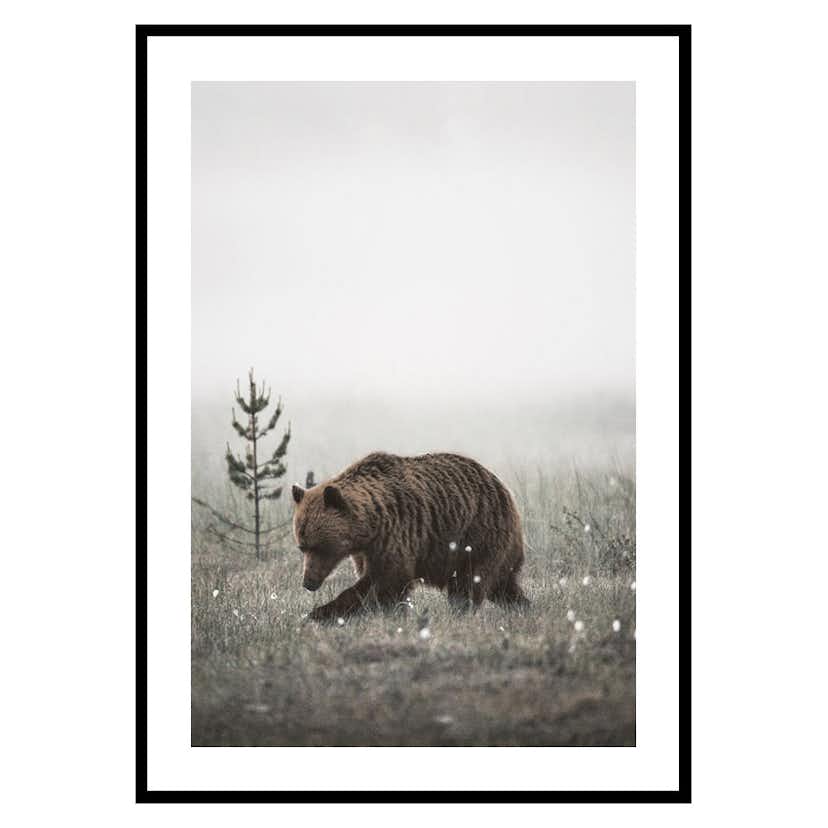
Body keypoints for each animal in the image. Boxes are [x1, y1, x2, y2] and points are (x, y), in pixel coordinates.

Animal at [290, 451, 528, 622]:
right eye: (302, 547)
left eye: (321, 547)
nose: (308, 582)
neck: (369, 526)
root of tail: (505, 490)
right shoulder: (365, 550)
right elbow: (376, 579)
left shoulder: (396, 533)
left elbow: (387, 579)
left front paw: (320, 612)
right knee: (503, 585)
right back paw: (523, 607)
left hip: (478, 536)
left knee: (470, 582)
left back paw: (460, 613)